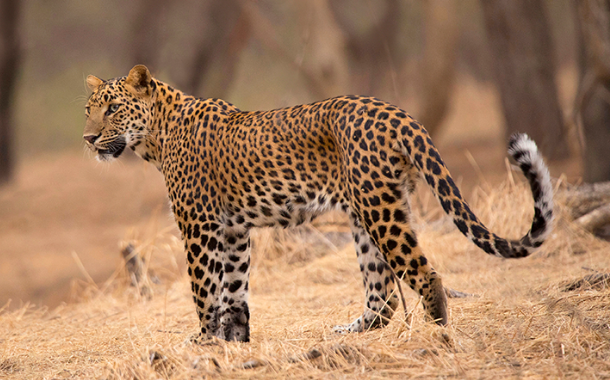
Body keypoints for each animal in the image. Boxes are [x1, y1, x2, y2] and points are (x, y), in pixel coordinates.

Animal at [83, 66, 552, 344]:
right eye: (88, 110)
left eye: (113, 108)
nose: (88, 138)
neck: (155, 139)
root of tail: (399, 113)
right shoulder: (233, 230)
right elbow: (233, 291)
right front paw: (234, 342)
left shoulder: (199, 225)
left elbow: (203, 288)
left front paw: (201, 342)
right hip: (368, 215)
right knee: (383, 296)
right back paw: (346, 333)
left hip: (378, 211)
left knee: (424, 274)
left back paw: (434, 338)